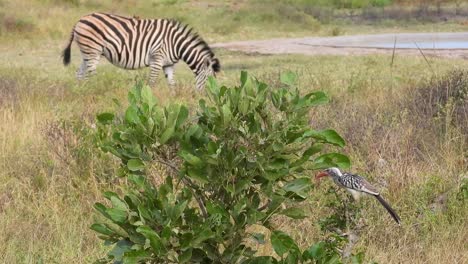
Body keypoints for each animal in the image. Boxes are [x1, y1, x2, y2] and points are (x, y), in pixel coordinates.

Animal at [61, 12, 219, 91]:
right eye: (209, 79)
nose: (207, 97)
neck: (176, 44)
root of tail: (80, 19)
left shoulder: (168, 64)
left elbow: (172, 84)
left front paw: (173, 101)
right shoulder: (157, 58)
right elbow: (152, 82)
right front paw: (149, 100)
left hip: (86, 53)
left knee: (80, 73)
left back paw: (82, 92)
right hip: (92, 51)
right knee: (91, 74)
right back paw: (95, 90)